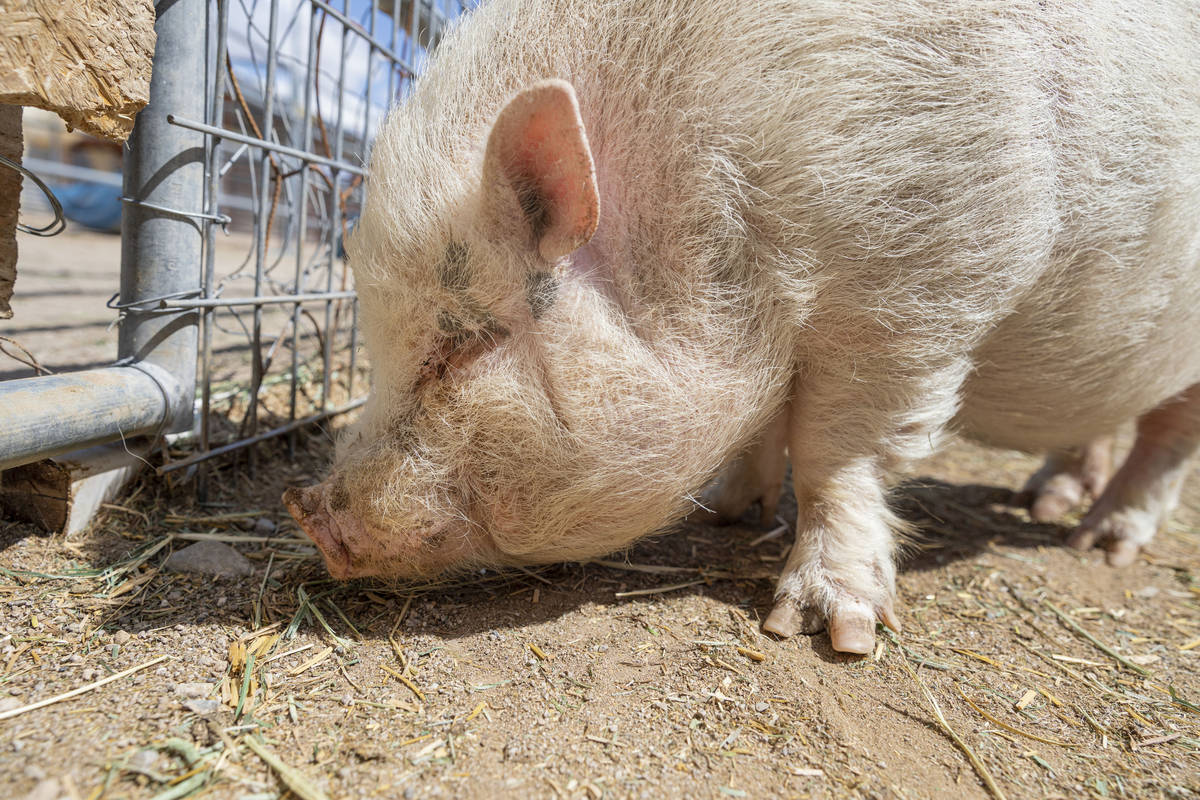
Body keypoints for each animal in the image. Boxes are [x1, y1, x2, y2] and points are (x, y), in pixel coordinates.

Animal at [285, 0, 1200, 657]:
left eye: (466, 341)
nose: (307, 510)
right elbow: (769, 420)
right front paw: (725, 515)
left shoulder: (916, 288)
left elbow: (838, 450)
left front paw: (825, 633)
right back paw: (1053, 501)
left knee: (1168, 438)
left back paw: (1098, 545)